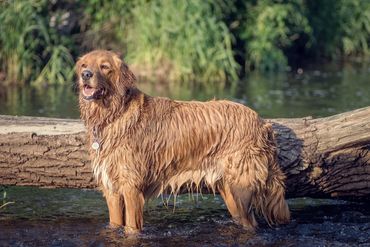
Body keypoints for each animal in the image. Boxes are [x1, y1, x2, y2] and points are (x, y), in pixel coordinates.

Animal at [76, 50, 290, 233]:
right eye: (84, 65)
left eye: (104, 67)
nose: (85, 75)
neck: (114, 115)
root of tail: (262, 122)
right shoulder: (111, 189)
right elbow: (114, 223)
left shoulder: (131, 188)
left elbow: (131, 228)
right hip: (229, 191)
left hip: (242, 187)